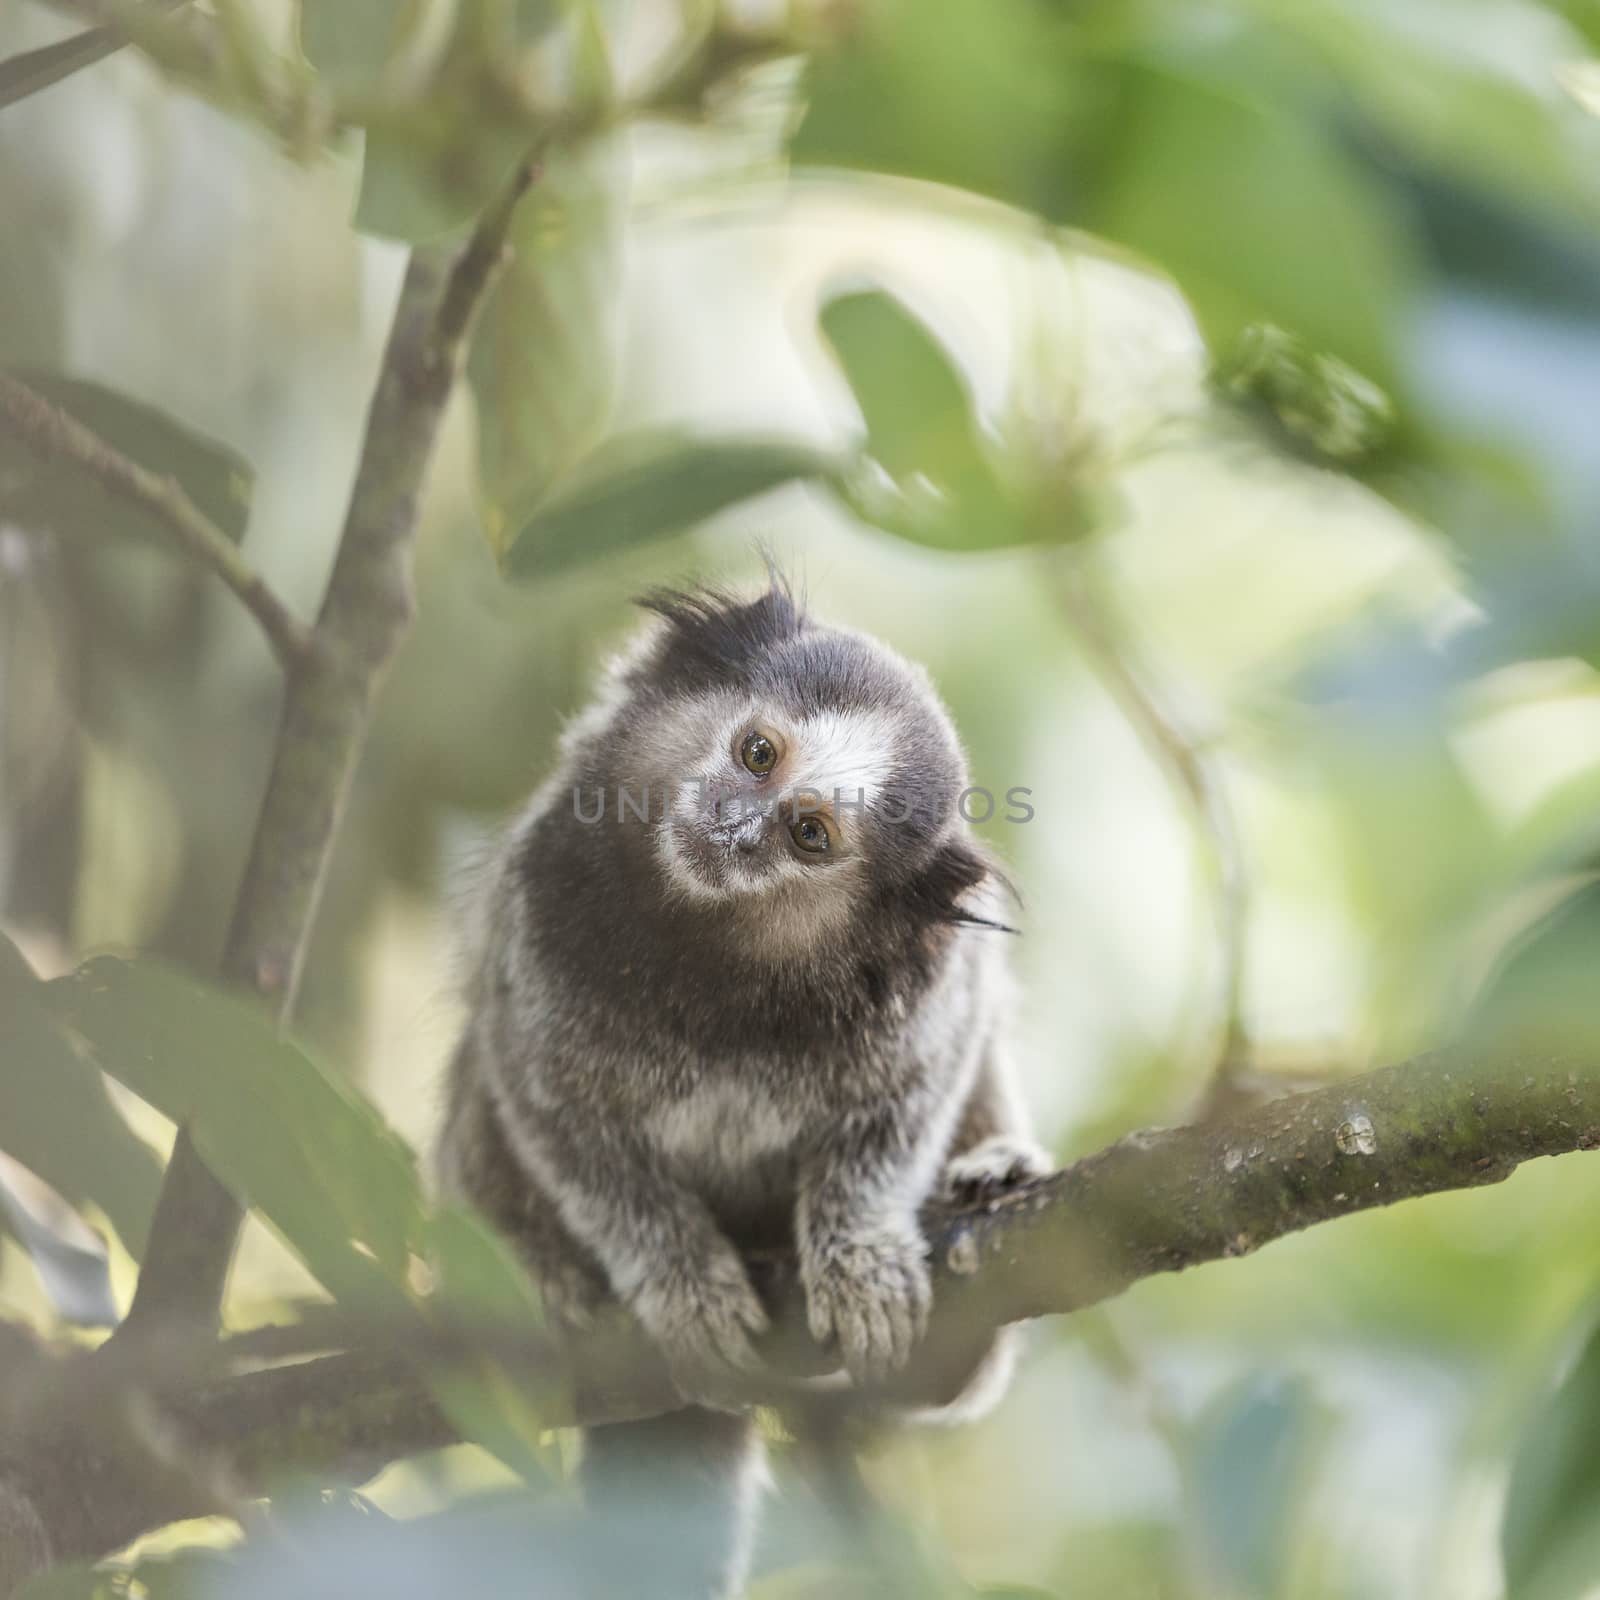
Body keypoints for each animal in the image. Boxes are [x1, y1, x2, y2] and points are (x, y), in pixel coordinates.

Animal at [435, 579, 1049, 1600]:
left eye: (810, 834)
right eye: (758, 753)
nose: (733, 824)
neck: (711, 954)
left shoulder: (923, 991)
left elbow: (916, 1091)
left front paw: (858, 1255)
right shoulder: (538, 912)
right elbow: (556, 1111)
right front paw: (683, 1285)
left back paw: (984, 1214)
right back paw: (547, 1276)